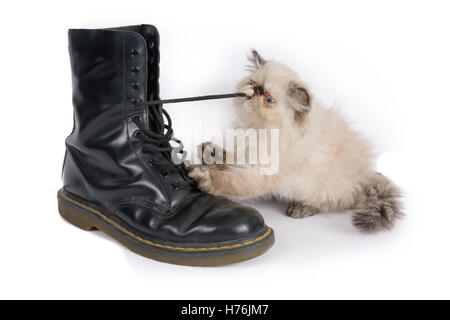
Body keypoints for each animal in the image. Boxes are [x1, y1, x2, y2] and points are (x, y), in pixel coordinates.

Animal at [188, 50, 402, 232]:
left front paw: (205, 178)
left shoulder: (260, 173)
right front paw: (211, 153)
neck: (258, 128)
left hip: (322, 187)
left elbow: (229, 180)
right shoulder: (246, 155)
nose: (256, 91)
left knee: (331, 204)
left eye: (268, 99)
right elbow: (228, 158)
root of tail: (364, 178)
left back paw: (301, 208)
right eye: (253, 83)